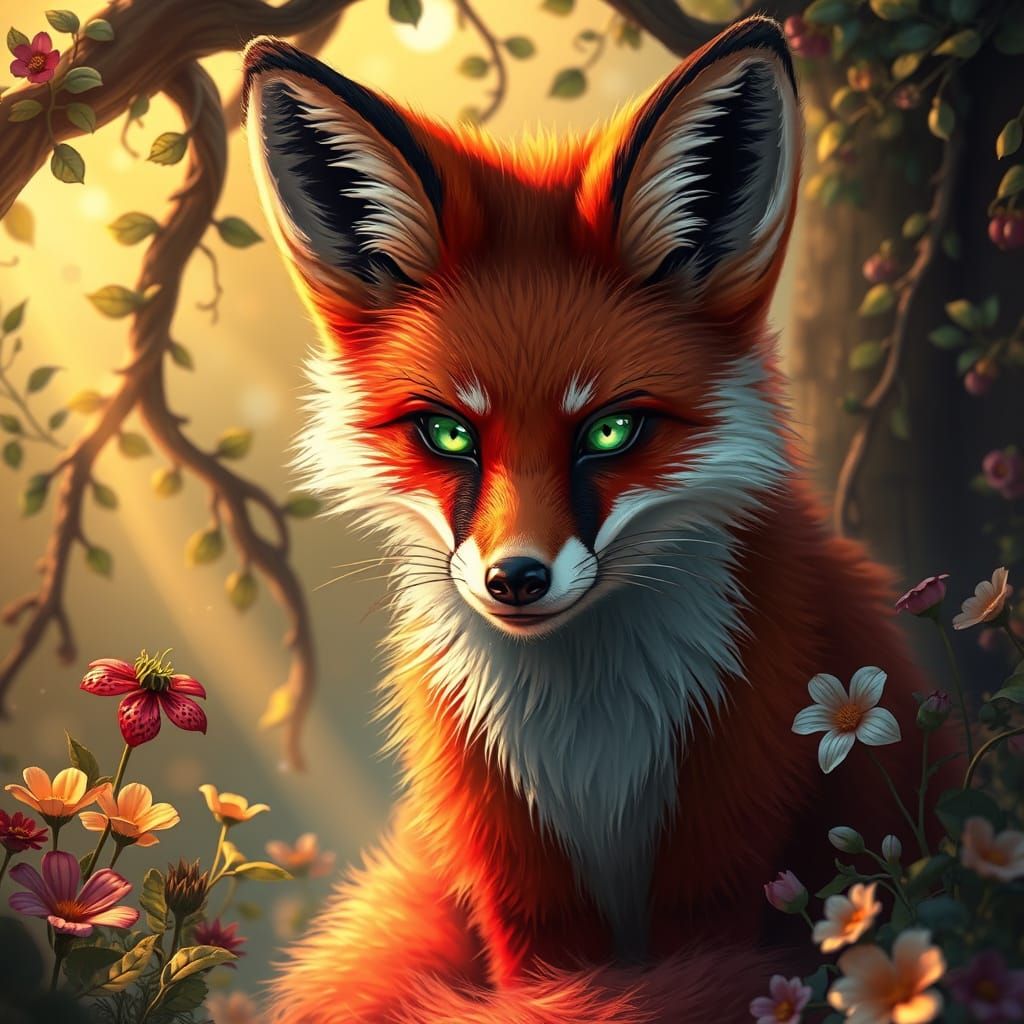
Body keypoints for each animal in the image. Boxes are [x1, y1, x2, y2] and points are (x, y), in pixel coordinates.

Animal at [242, 16, 941, 1023]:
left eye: (610, 430)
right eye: (450, 433)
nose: (515, 579)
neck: (589, 750)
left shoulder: (726, 849)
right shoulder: (519, 881)